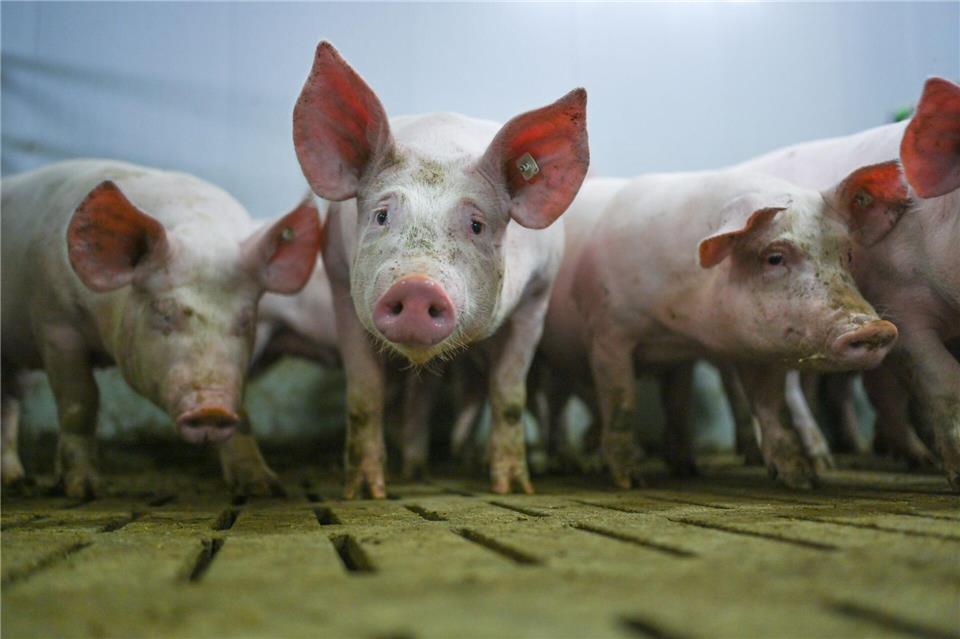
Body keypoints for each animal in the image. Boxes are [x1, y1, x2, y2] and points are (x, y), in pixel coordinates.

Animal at [0, 159, 321, 498]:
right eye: (163, 312)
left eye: (246, 319)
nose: (213, 410)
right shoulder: (54, 322)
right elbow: (80, 402)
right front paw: (85, 490)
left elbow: (243, 412)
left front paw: (263, 487)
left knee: (9, 402)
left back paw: (15, 480)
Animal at [292, 42, 589, 497]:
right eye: (381, 215)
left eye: (476, 225)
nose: (417, 286)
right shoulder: (340, 276)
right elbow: (364, 395)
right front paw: (365, 492)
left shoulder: (537, 296)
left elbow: (509, 396)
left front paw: (512, 488)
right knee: (422, 393)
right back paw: (413, 472)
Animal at [538, 165, 905, 489]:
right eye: (774, 257)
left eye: (848, 255)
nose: (873, 329)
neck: (681, 324)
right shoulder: (607, 331)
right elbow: (621, 402)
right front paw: (631, 482)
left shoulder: (715, 352)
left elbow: (766, 408)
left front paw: (801, 480)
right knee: (557, 405)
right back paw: (570, 462)